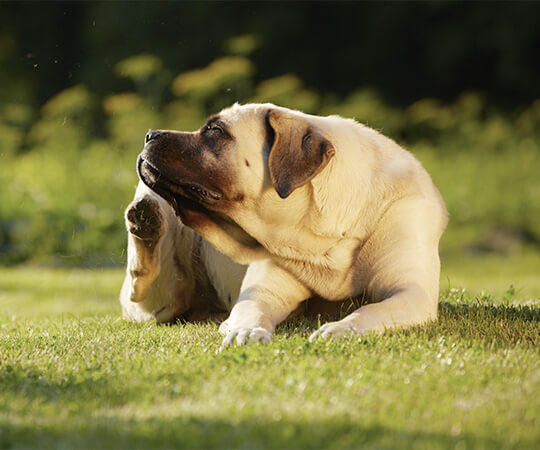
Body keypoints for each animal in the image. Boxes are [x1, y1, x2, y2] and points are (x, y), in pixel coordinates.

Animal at [119, 103, 448, 346]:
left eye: (215, 130)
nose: (150, 134)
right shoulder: (263, 292)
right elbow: (249, 310)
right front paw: (245, 330)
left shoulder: (411, 292)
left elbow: (369, 311)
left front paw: (341, 329)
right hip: (161, 296)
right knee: (142, 279)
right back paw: (146, 222)